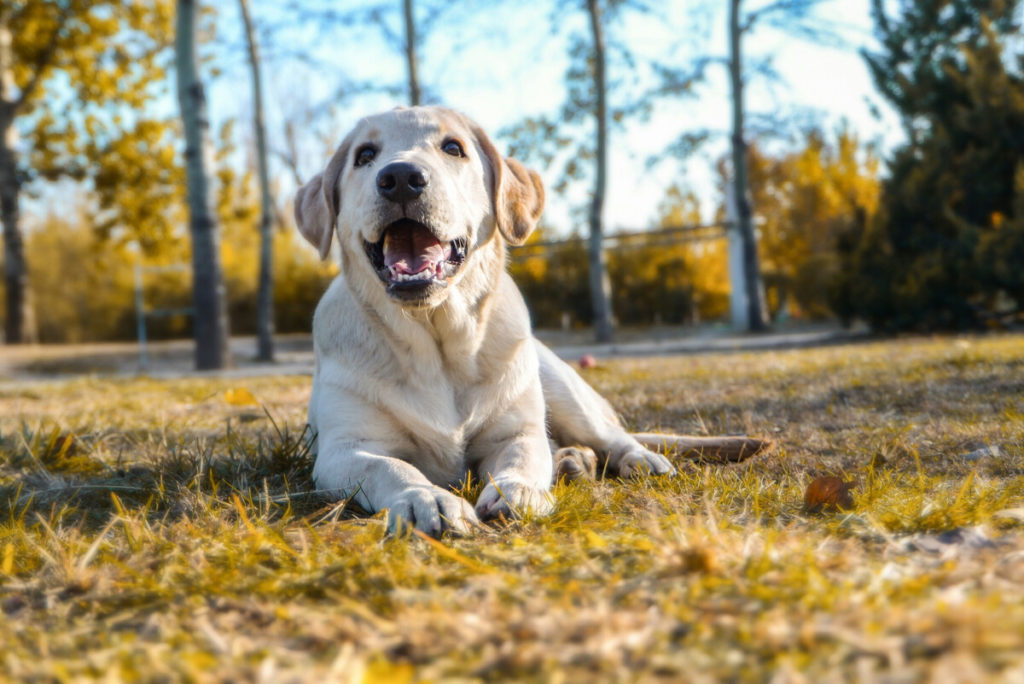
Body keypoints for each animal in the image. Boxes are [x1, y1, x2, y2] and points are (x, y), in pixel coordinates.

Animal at [292, 107, 765, 536]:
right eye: (365, 155)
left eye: (453, 148)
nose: (402, 177)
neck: (439, 339)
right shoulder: (345, 450)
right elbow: (390, 468)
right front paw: (426, 498)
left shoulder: (516, 432)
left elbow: (524, 456)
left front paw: (518, 490)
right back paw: (573, 462)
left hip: (557, 383)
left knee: (610, 435)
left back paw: (630, 458)